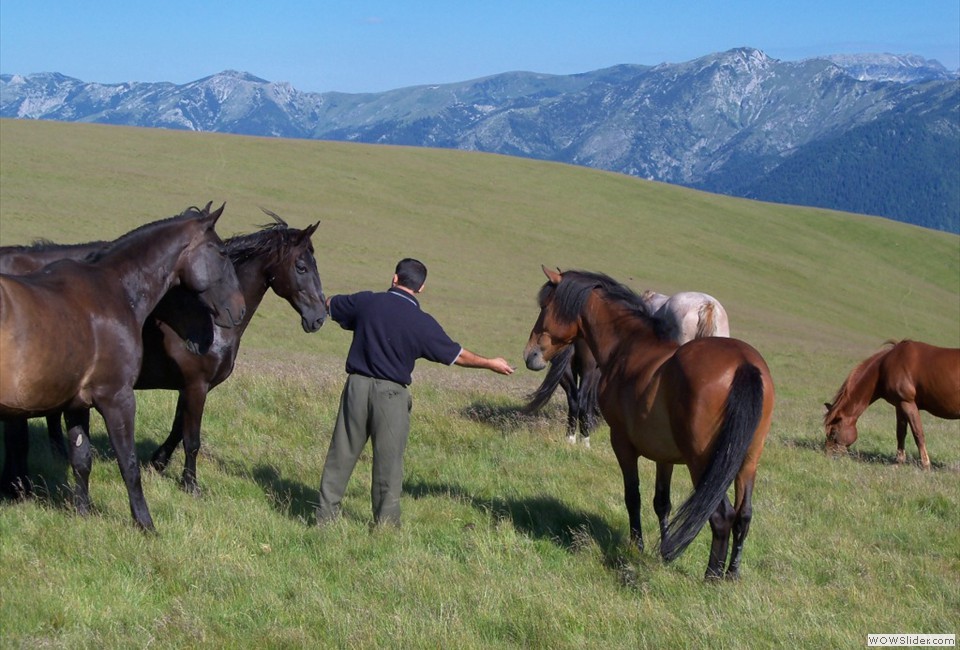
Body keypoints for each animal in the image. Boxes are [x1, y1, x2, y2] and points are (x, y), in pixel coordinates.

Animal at [0, 205, 246, 528]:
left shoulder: (77, 404)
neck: (112, 291)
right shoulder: (118, 398)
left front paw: (83, 513)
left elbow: (81, 460)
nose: (240, 309)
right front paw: (145, 524)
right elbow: (129, 464)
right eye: (221, 252)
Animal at [520, 266, 776, 580]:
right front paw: (662, 551)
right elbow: (662, 502)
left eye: (545, 306)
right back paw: (732, 573)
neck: (628, 347)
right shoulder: (664, 457)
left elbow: (633, 496)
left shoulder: (622, 444)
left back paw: (712, 576)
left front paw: (637, 546)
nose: (530, 354)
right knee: (744, 515)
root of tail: (743, 363)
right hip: (748, 461)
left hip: (703, 463)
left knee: (721, 515)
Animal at [824, 340, 960, 466]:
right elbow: (900, 433)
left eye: (833, 432)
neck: (884, 367)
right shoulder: (899, 405)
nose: (828, 456)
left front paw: (925, 464)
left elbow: (918, 434)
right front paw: (899, 461)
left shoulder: (908, 403)